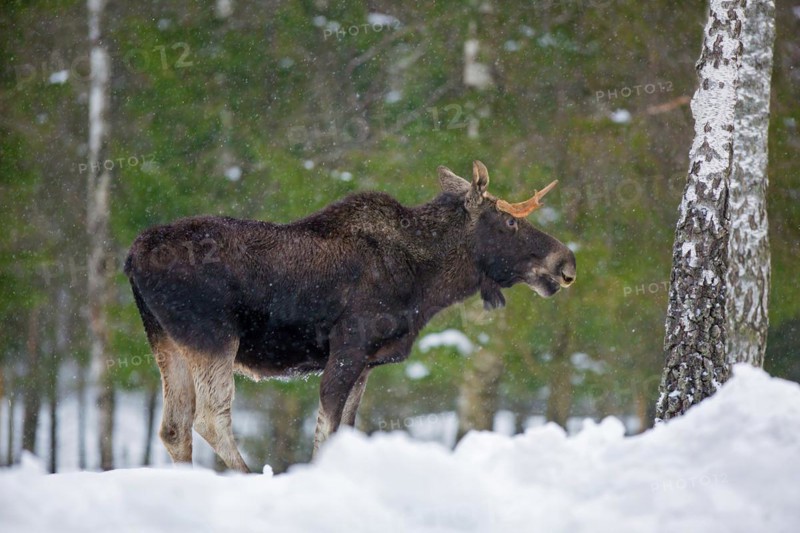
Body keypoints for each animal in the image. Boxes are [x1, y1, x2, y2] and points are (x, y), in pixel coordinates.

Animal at [124, 161, 576, 472]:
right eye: (509, 222)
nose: (565, 261)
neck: (425, 282)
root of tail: (132, 257)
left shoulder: (366, 362)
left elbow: (345, 428)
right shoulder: (349, 347)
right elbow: (327, 429)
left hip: (166, 341)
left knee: (173, 427)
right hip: (213, 336)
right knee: (209, 418)